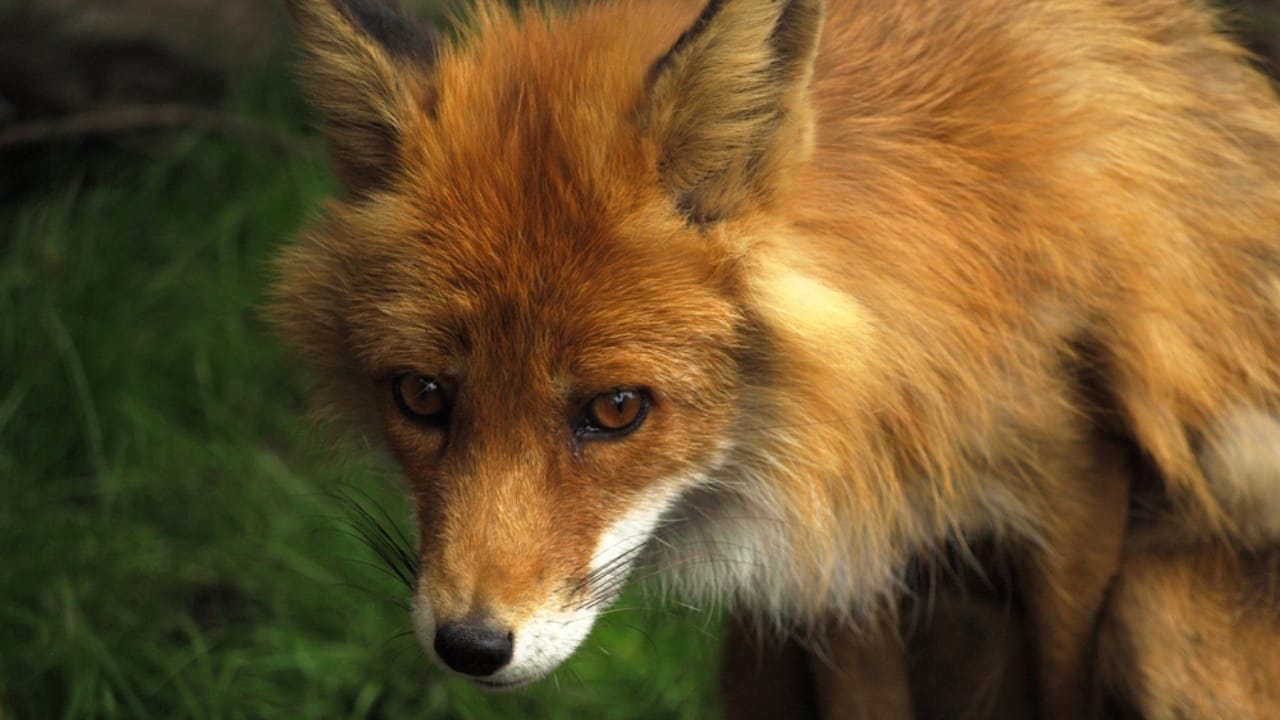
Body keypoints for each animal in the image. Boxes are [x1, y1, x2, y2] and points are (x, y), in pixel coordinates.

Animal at [272, 0, 1280, 716]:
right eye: (422, 395)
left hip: (1158, 615)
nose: (471, 646)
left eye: (616, 409)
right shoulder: (831, 550)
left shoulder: (1073, 487)